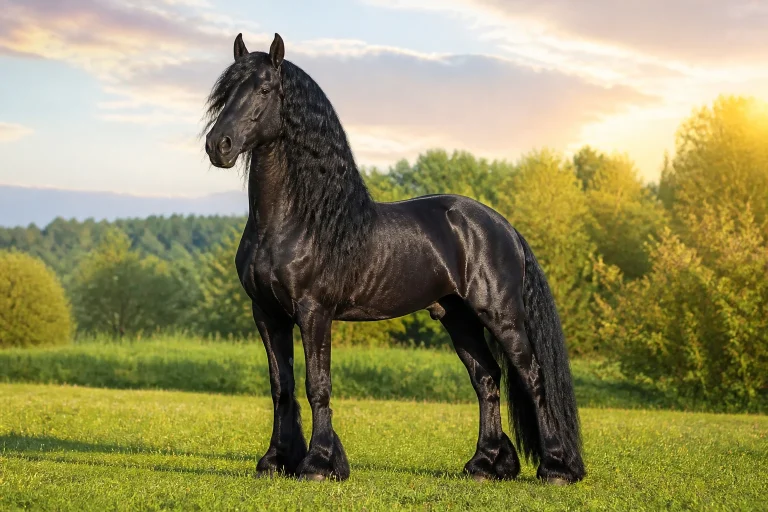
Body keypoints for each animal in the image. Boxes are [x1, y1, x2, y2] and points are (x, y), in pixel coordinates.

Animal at [203, 32, 585, 485]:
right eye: (225, 92)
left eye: (264, 90)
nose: (218, 145)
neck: (296, 220)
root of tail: (503, 226)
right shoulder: (267, 313)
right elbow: (282, 385)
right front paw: (276, 460)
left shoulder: (314, 312)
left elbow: (318, 384)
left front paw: (319, 464)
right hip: (458, 318)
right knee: (486, 379)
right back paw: (485, 464)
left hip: (502, 316)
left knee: (532, 377)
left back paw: (556, 468)